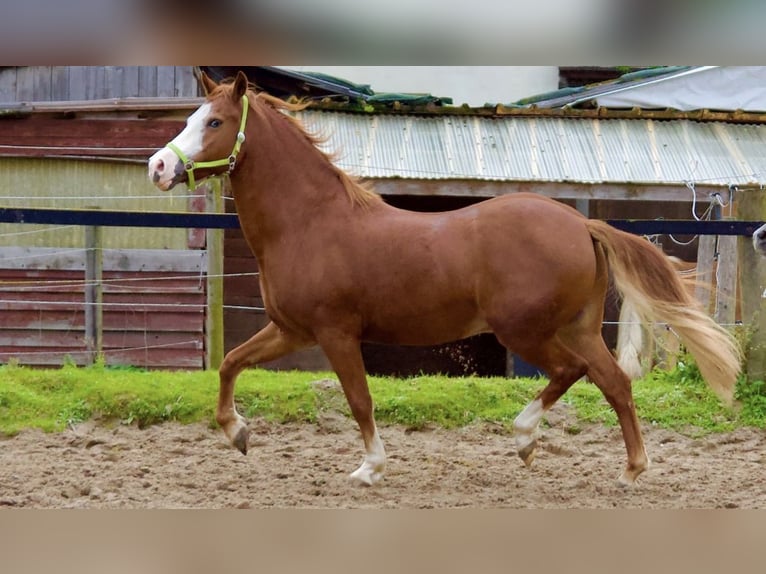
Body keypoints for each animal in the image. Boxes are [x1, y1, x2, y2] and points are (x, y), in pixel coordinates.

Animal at [148, 71, 741, 487]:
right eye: (193, 117)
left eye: (214, 123)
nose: (158, 167)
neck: (310, 222)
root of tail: (580, 222)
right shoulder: (291, 330)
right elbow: (230, 363)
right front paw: (238, 434)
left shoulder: (335, 333)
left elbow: (359, 400)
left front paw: (370, 469)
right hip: (577, 327)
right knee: (613, 382)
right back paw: (624, 468)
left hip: (527, 330)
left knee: (574, 372)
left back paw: (532, 440)